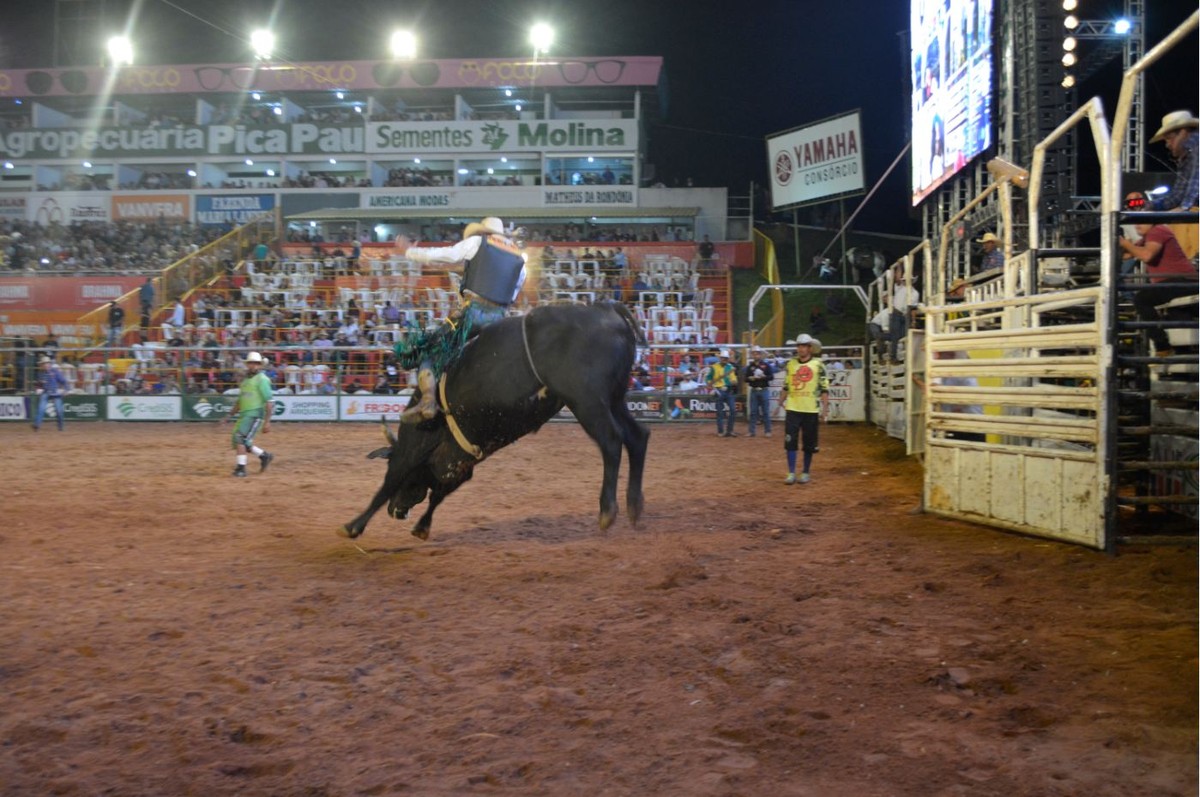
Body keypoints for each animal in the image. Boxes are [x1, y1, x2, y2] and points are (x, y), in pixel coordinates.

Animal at [343, 303, 652, 542]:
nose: (396, 511)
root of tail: (605, 307)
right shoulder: (460, 464)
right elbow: (438, 495)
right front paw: (422, 527)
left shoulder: (410, 451)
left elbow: (387, 485)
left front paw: (353, 526)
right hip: (614, 398)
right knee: (638, 437)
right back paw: (634, 506)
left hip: (588, 403)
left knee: (611, 441)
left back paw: (607, 510)